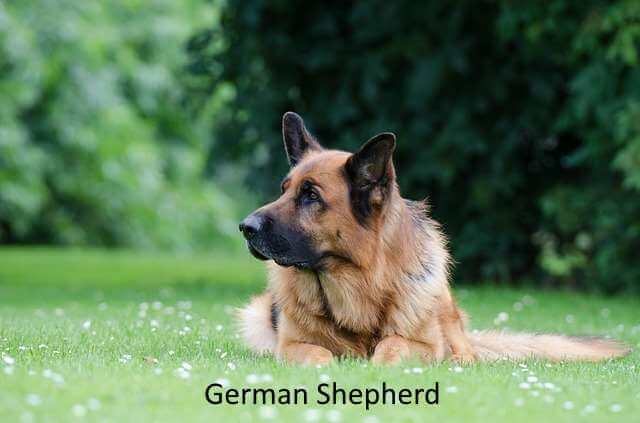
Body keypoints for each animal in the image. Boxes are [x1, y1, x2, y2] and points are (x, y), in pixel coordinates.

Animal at [239, 112, 632, 368]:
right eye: (284, 189)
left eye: (310, 196)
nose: (246, 227)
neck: (358, 284)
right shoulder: (291, 345)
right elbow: (316, 354)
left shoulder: (424, 344)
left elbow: (394, 346)